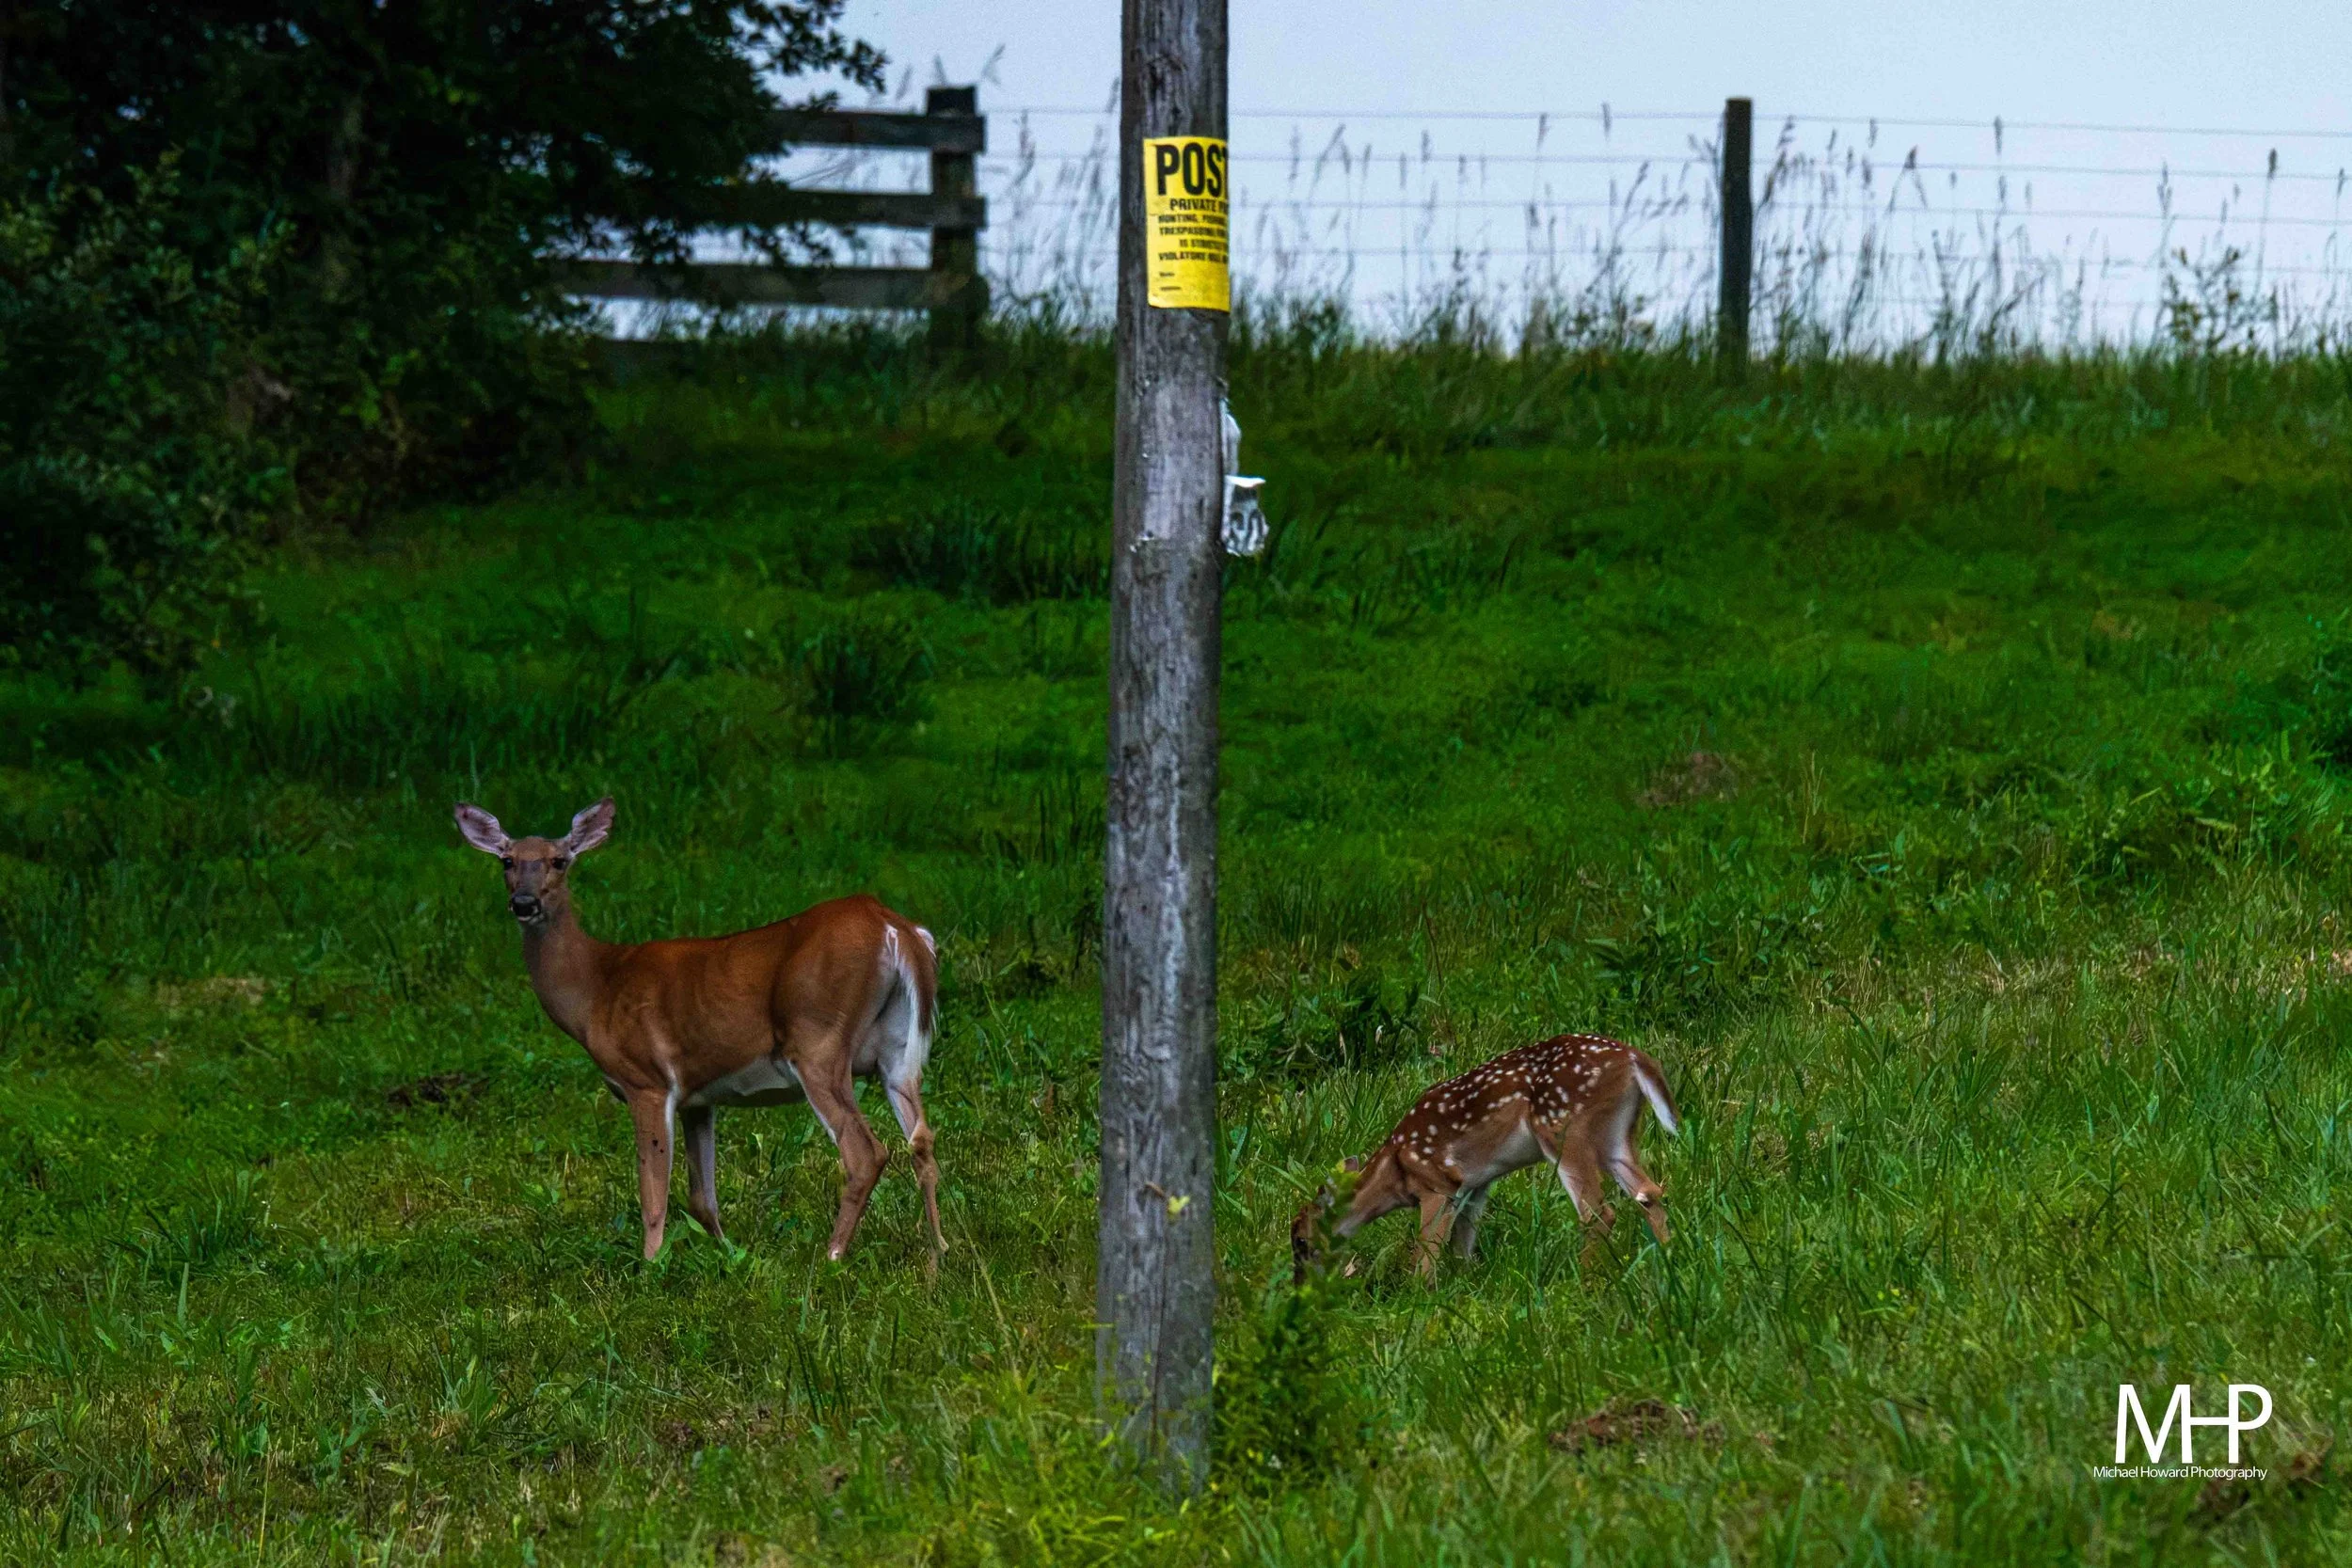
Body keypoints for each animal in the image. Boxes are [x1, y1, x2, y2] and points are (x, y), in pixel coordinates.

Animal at [452, 797, 943, 1265]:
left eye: (558, 860)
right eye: (507, 861)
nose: (523, 903)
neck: (596, 988)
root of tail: (895, 927)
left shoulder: (647, 1079)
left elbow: (653, 1195)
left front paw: (649, 1267)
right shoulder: (698, 1098)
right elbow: (701, 1199)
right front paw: (732, 1256)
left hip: (817, 1040)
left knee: (866, 1152)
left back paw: (833, 1256)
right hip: (897, 1049)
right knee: (921, 1139)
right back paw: (938, 1254)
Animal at [1291, 1033, 1679, 1284]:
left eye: (1300, 1240)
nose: (1300, 1285)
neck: (1395, 1171)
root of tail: (1633, 1057)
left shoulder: (1437, 1184)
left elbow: (1426, 1249)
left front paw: (1417, 1294)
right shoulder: (1475, 1186)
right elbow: (1463, 1244)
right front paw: (1466, 1283)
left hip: (1564, 1129)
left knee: (1599, 1213)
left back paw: (1585, 1282)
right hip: (1616, 1134)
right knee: (1649, 1192)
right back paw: (1668, 1259)